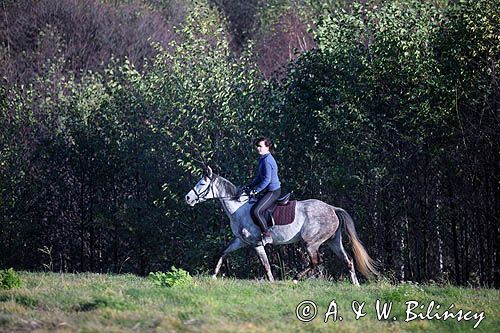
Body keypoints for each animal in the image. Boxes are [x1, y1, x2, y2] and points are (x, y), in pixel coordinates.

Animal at [185, 165, 378, 282]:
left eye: (202, 183)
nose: (187, 198)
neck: (238, 209)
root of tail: (332, 208)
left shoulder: (256, 243)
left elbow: (265, 265)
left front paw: (271, 283)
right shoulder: (240, 241)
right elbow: (223, 253)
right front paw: (213, 276)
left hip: (311, 242)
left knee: (316, 261)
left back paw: (295, 279)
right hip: (333, 241)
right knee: (348, 261)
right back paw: (355, 286)